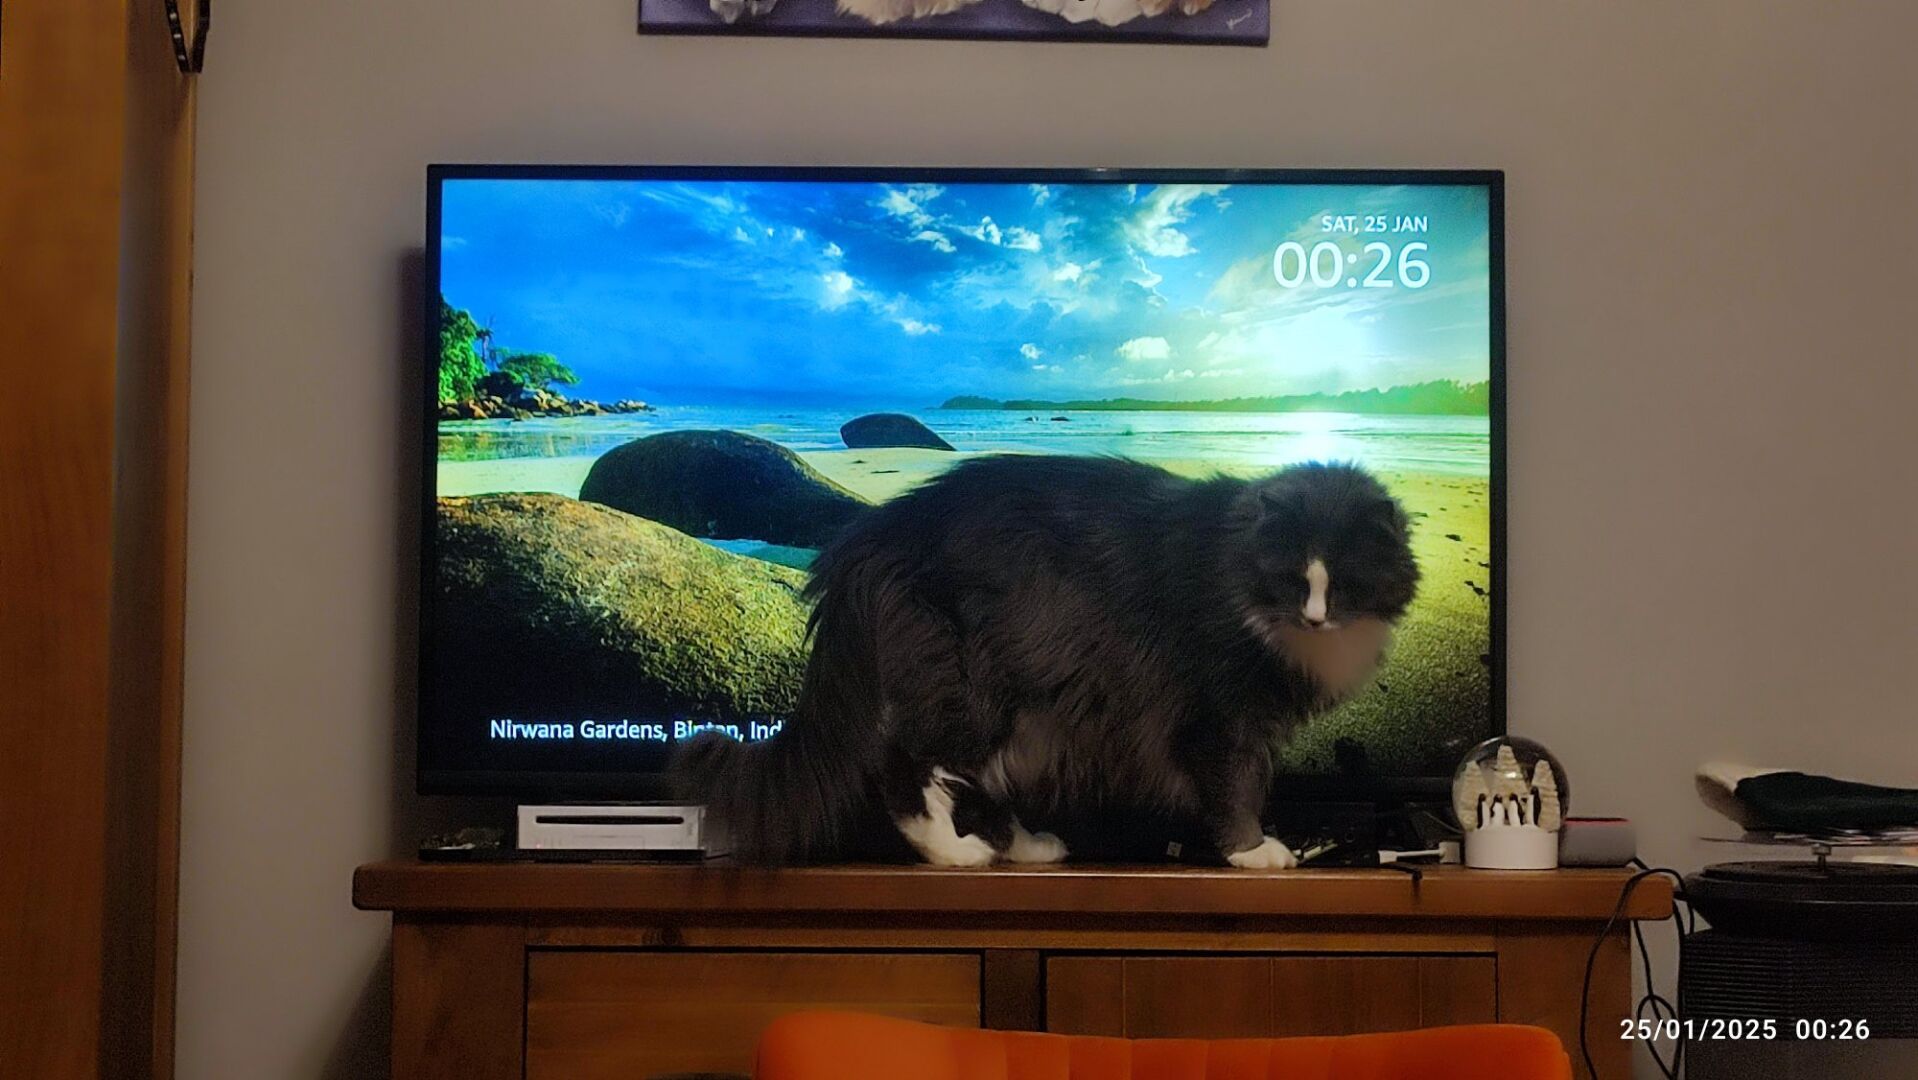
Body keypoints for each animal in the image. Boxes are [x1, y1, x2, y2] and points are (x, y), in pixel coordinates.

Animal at [671, 456, 1411, 870]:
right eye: (1290, 580)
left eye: (1345, 584)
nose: (1314, 619)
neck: (1231, 564)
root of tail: (876, 530)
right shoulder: (1218, 713)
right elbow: (1236, 789)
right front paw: (1256, 852)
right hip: (975, 688)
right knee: (907, 769)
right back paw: (954, 855)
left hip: (1028, 707)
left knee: (978, 783)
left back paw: (1028, 848)